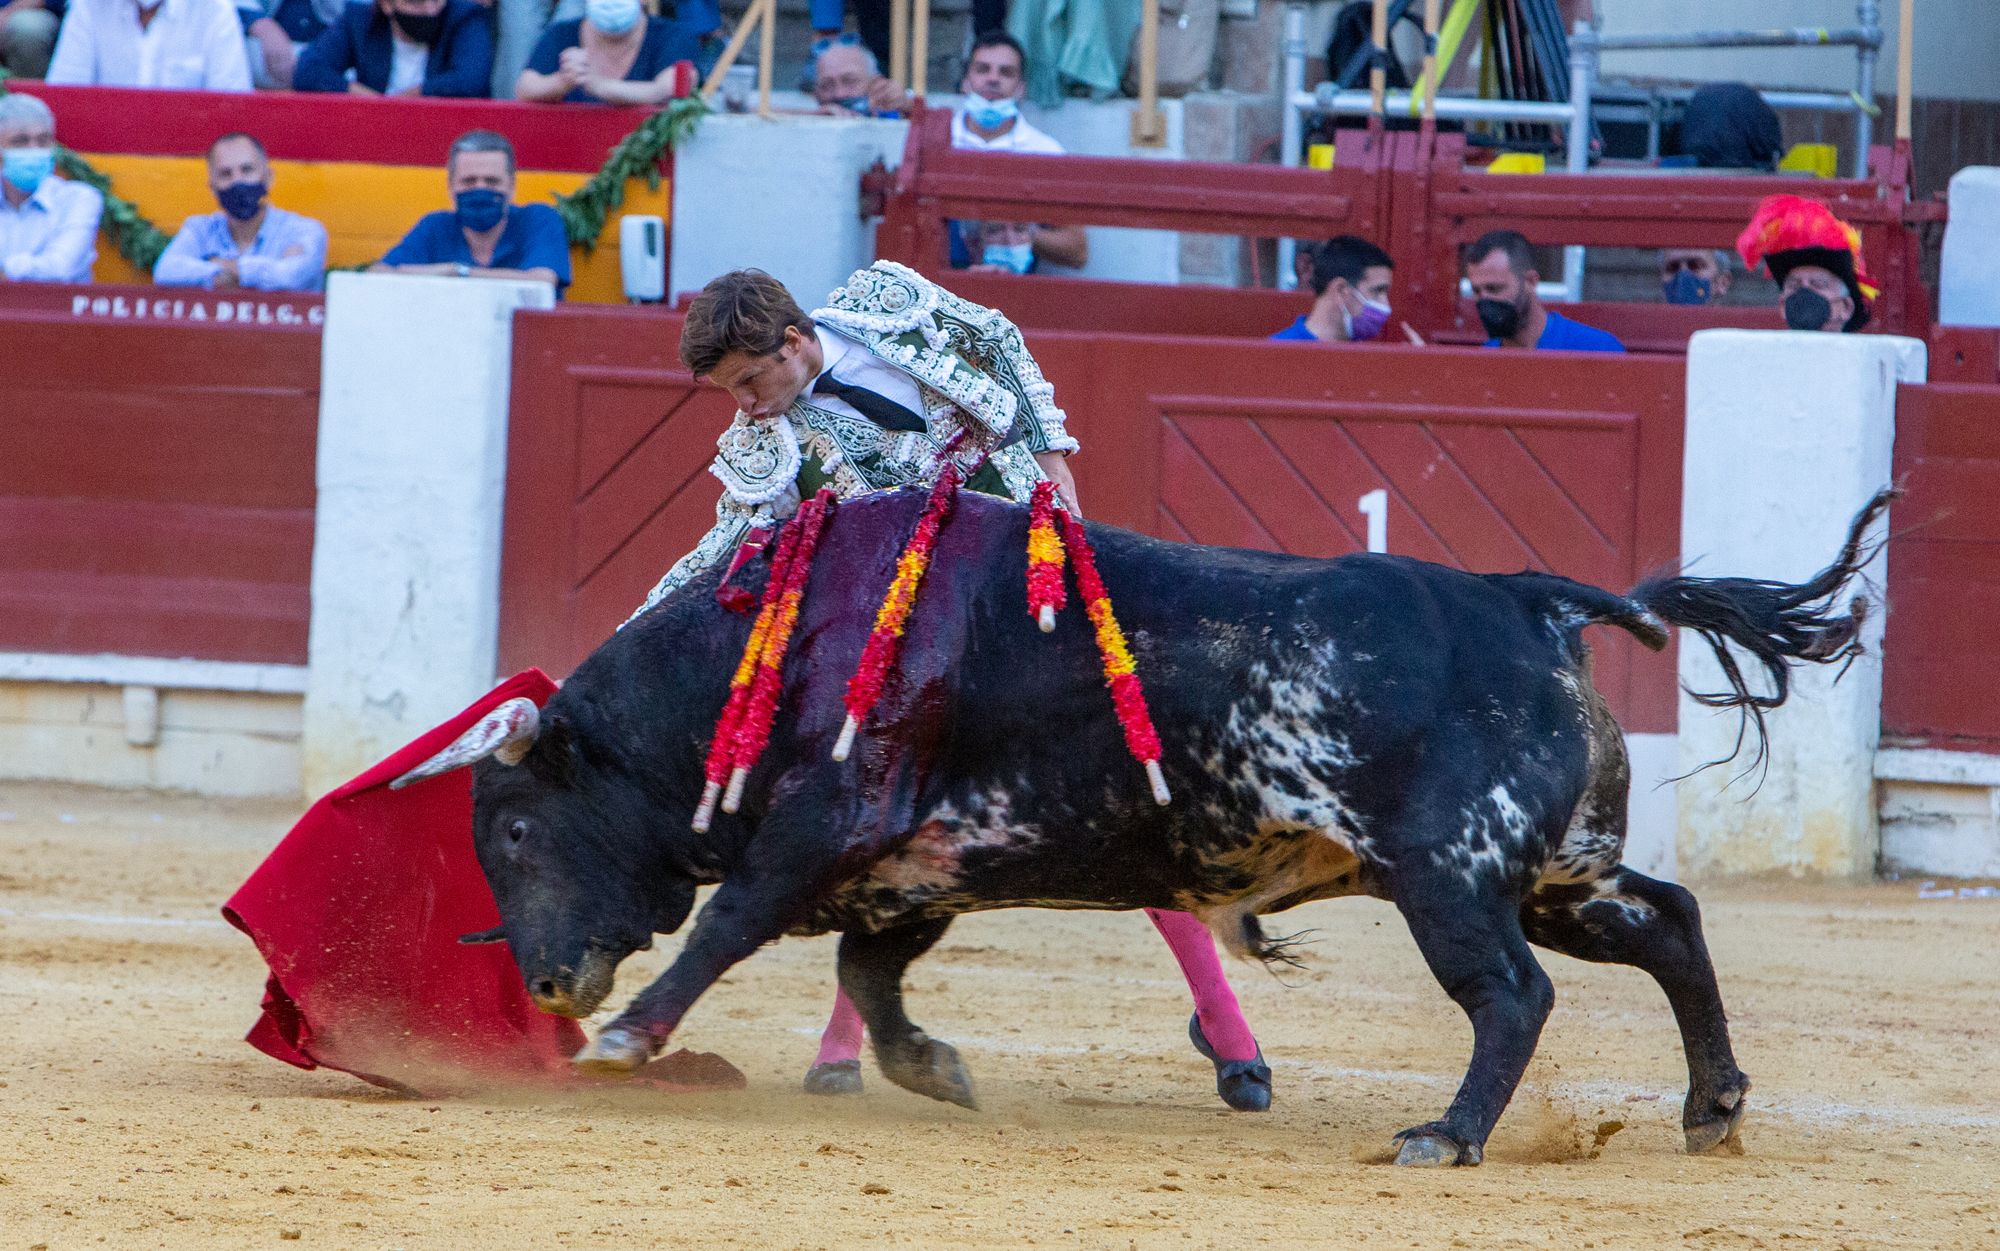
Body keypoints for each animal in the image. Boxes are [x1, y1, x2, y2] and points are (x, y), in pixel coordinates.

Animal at [398, 485, 1880, 1159]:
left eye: (516, 832)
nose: (551, 982)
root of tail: (1527, 602)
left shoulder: (826, 830)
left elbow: (726, 925)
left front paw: (628, 1039)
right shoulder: (914, 868)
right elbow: (870, 980)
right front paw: (934, 1068)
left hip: (1451, 878)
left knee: (1510, 994)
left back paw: (1445, 1134)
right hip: (1551, 874)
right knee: (1665, 921)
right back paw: (1710, 1105)